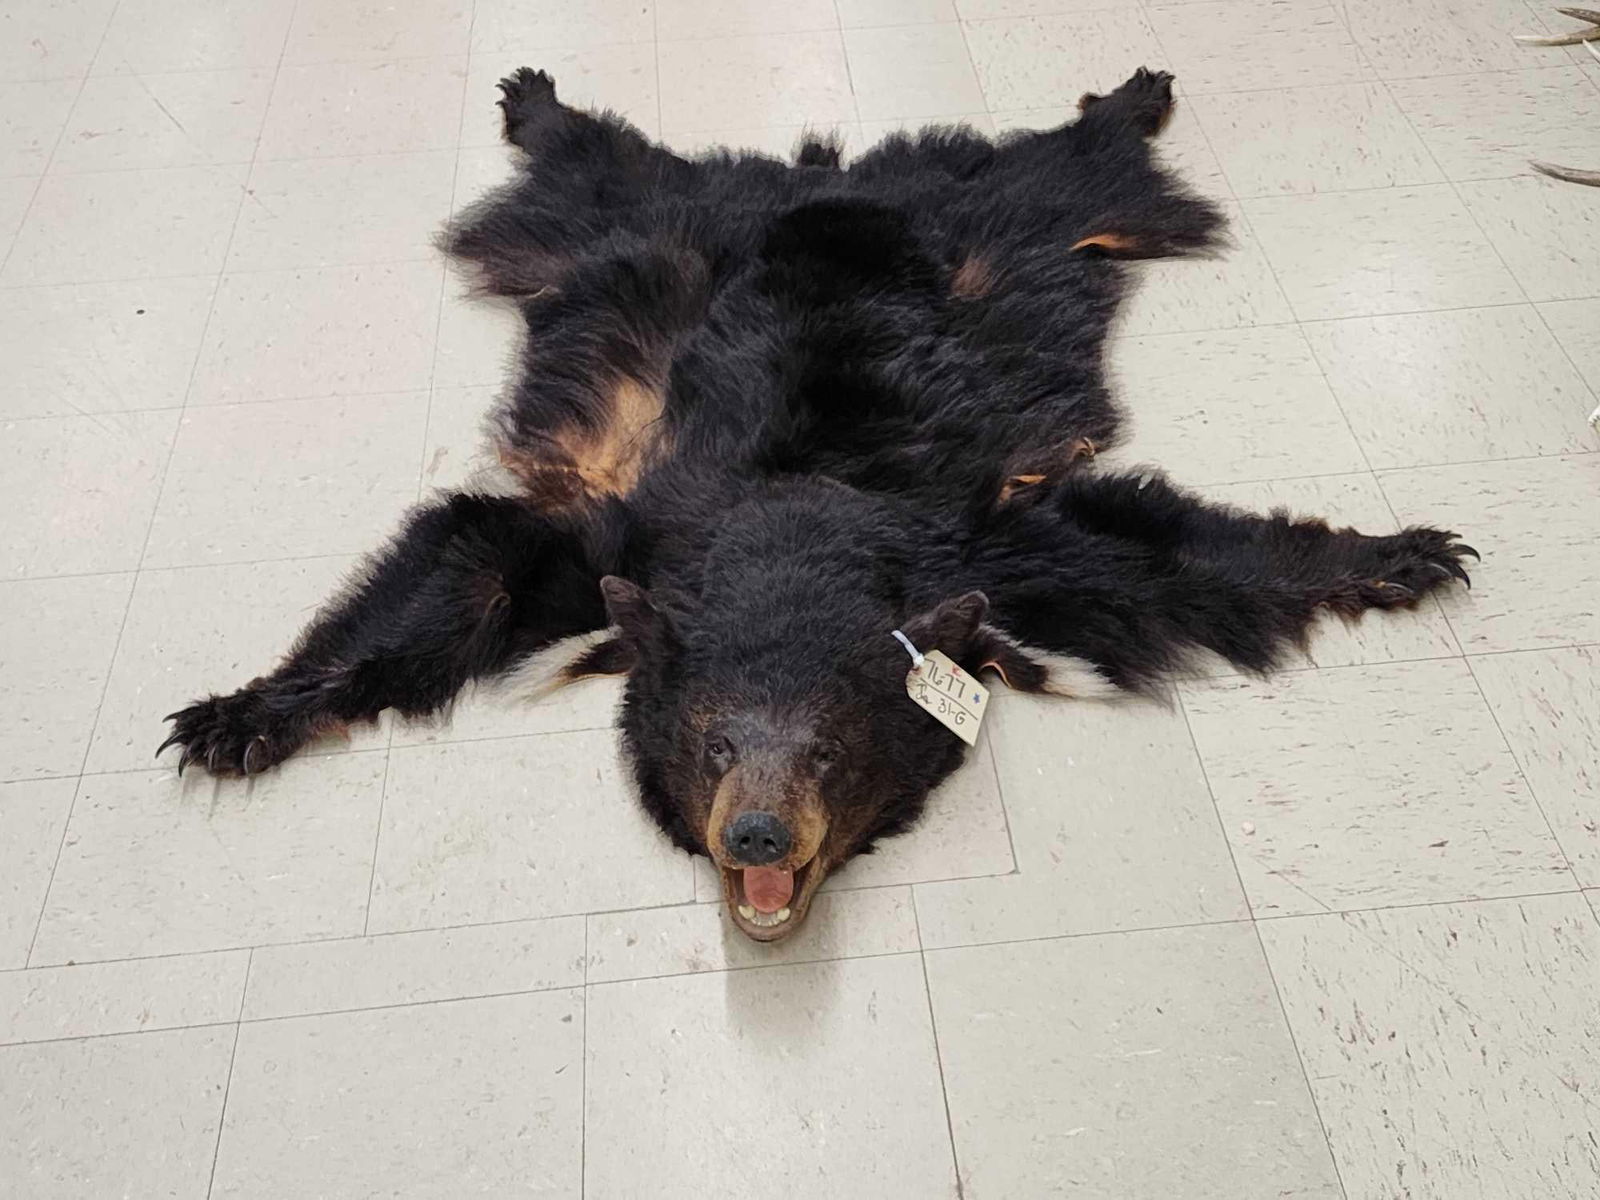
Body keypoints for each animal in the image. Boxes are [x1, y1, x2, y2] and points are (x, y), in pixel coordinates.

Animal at [159, 67, 1475, 942]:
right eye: (713, 740)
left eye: (834, 751)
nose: (756, 836)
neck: (795, 533)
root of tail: (833, 181)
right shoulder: (634, 533)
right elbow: (474, 557)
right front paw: (241, 714)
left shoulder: (987, 546)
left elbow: (1151, 554)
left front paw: (1401, 551)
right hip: (652, 235)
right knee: (594, 174)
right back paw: (532, 94)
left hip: (1002, 229)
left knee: (1070, 176)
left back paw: (1133, 94)